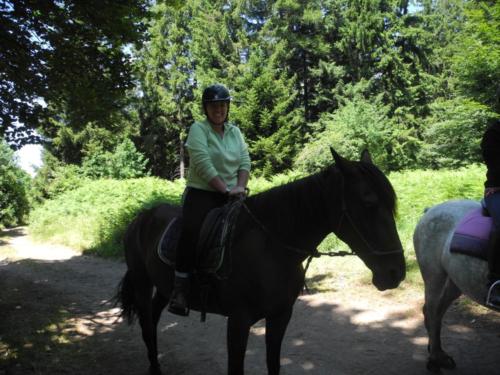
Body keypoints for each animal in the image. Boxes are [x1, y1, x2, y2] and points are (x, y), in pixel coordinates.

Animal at [114, 148, 406, 374]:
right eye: (368, 203)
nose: (396, 272)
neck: (271, 248)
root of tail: (140, 218)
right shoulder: (238, 322)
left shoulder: (280, 316)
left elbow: (273, 364)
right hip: (142, 283)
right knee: (147, 326)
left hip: (163, 288)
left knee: (153, 320)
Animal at [412, 200, 498, 374]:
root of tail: (430, 210)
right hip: (434, 277)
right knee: (432, 313)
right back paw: (435, 360)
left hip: (455, 282)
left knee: (437, 313)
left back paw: (439, 354)